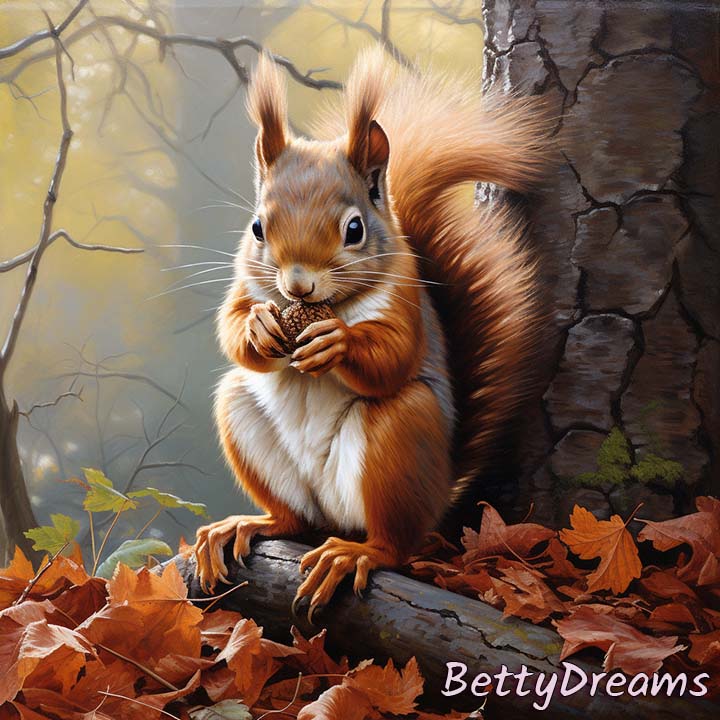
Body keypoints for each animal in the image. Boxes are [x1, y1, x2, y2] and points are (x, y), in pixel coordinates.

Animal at [194, 48, 550, 620]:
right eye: (257, 227)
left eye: (354, 229)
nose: (298, 285)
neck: (328, 305)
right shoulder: (244, 282)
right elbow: (232, 327)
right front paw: (259, 325)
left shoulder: (406, 295)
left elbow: (393, 356)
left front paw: (336, 342)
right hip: (244, 419)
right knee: (295, 521)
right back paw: (248, 524)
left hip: (400, 442)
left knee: (394, 542)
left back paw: (354, 555)